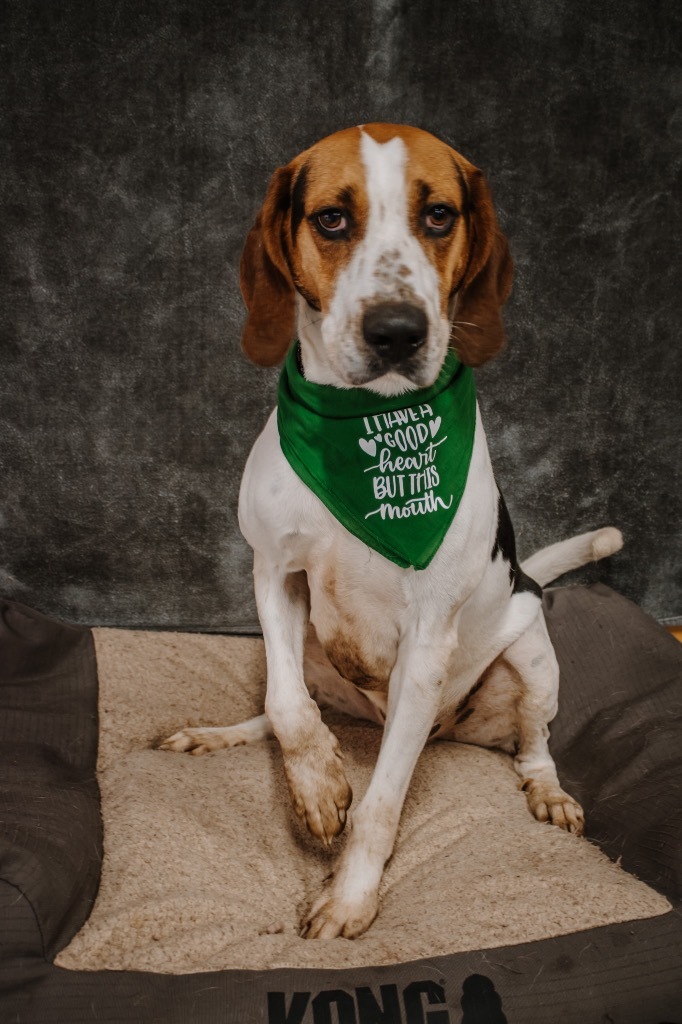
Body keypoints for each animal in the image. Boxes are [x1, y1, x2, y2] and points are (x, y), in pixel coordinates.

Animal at [160, 123, 622, 937]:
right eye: (331, 219)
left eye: (438, 216)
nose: (398, 332)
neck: (366, 428)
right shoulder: (274, 575)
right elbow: (287, 711)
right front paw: (317, 788)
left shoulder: (426, 643)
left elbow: (381, 805)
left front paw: (350, 896)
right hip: (315, 649)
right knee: (289, 706)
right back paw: (225, 735)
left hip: (531, 653)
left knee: (533, 743)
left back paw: (547, 790)